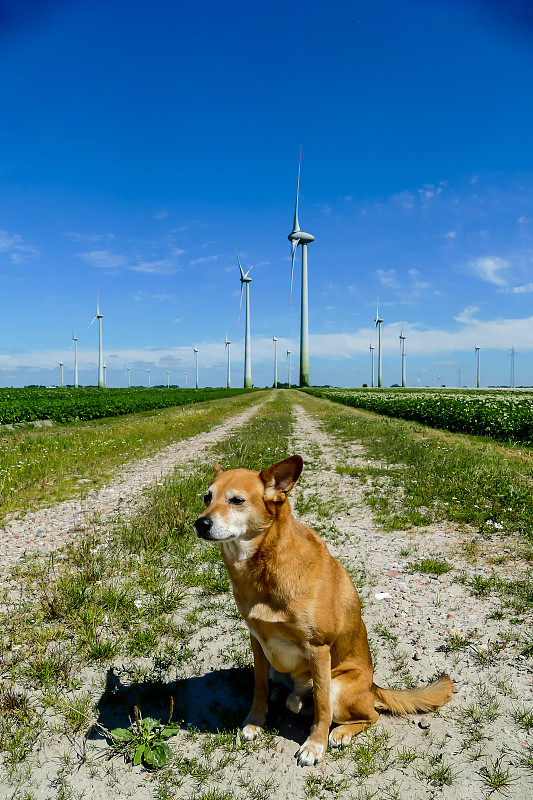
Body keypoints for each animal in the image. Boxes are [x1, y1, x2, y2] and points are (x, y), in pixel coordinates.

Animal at [193, 454, 450, 764]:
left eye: (237, 500)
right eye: (207, 497)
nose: (200, 523)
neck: (264, 565)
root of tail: (373, 686)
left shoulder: (318, 649)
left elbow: (322, 710)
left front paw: (314, 745)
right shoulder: (257, 640)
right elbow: (259, 687)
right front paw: (254, 722)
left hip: (338, 686)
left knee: (367, 714)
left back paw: (340, 732)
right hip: (279, 668)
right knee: (294, 695)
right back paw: (286, 696)